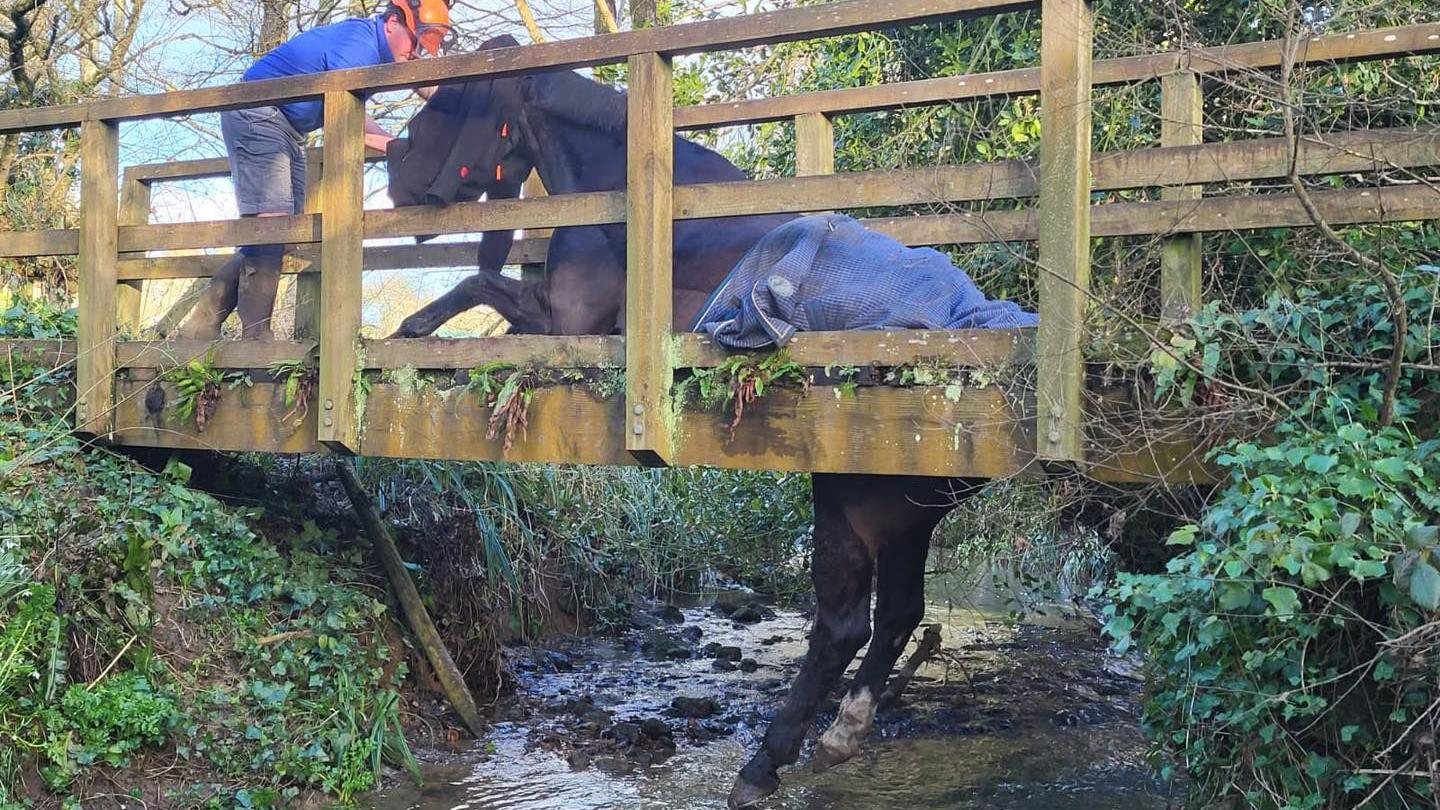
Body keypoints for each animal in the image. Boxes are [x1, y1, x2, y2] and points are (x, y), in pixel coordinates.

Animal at [385, 41, 979, 801]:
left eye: (449, 100)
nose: (393, 167)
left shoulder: (569, 325)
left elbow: (476, 284)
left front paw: (409, 331)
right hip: (904, 509)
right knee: (899, 614)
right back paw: (837, 737)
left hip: (850, 491)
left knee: (844, 624)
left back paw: (764, 763)